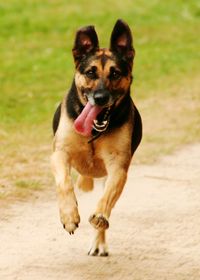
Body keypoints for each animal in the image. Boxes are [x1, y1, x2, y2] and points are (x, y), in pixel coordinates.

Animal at [51, 19, 142, 256]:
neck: (94, 131)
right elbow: (64, 182)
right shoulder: (59, 154)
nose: (100, 98)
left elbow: (107, 197)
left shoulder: (118, 166)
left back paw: (99, 243)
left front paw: (100, 215)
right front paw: (69, 216)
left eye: (115, 73)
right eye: (90, 73)